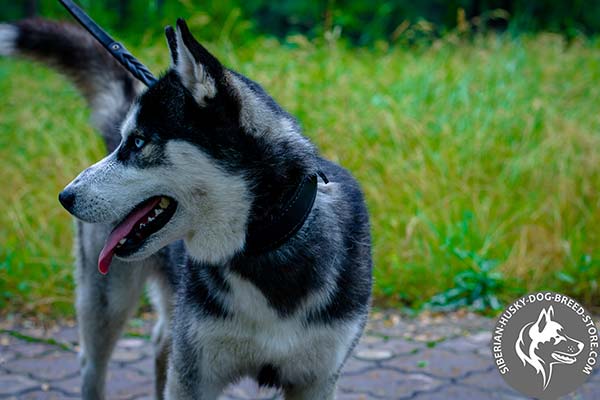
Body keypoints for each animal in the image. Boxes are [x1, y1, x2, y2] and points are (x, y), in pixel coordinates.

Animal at [2, 16, 372, 400]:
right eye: (126, 141)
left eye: (138, 142)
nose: (65, 197)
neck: (258, 248)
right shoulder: (193, 376)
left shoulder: (316, 379)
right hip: (105, 305)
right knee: (94, 363)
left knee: (160, 342)